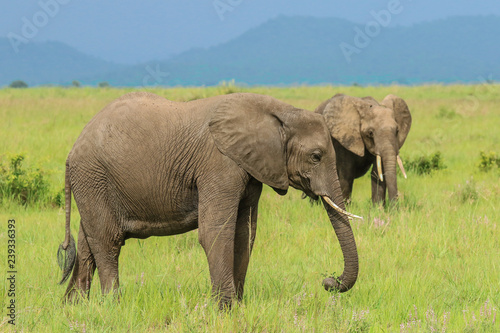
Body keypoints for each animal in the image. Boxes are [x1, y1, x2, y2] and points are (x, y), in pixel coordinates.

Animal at [58, 91, 362, 308]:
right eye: (316, 156)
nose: (328, 281)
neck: (280, 111)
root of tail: (71, 151)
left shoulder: (251, 168)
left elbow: (245, 233)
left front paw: (237, 306)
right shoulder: (219, 164)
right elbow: (216, 231)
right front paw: (224, 309)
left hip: (93, 183)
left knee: (87, 241)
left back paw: (75, 307)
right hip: (93, 176)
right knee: (107, 240)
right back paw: (112, 305)